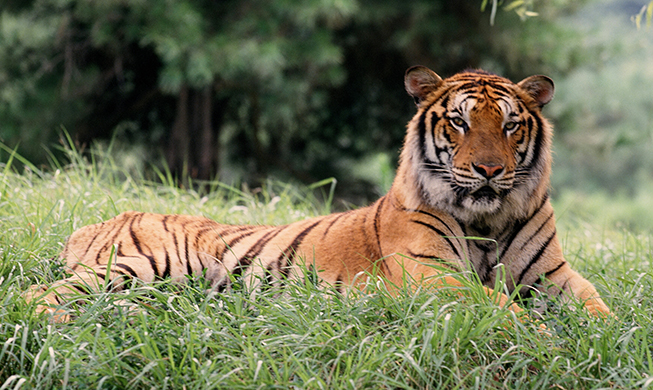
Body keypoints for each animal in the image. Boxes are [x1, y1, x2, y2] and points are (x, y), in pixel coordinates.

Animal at [25, 66, 608, 322]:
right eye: (460, 123)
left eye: (510, 126)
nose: (488, 170)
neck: (486, 220)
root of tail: (99, 220)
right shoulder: (434, 276)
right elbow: (503, 307)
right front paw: (544, 336)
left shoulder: (555, 276)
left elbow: (598, 308)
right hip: (146, 263)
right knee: (42, 295)